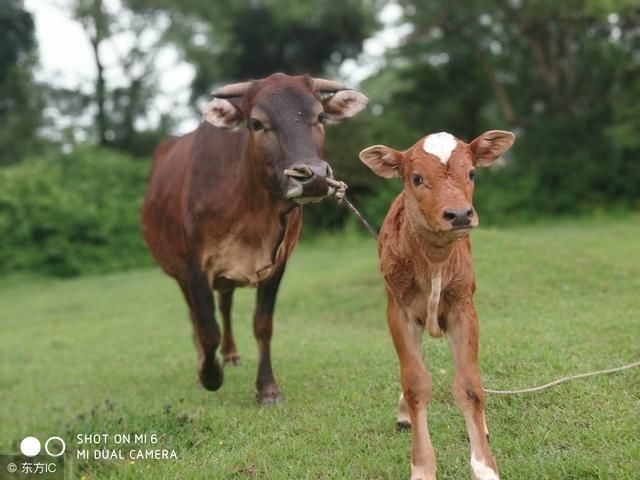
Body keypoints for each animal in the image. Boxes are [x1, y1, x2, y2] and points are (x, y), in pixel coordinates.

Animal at [142, 74, 368, 404]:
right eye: (257, 123)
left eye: (320, 117)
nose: (313, 176)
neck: (253, 213)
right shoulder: (196, 265)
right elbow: (207, 328)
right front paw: (209, 376)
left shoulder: (278, 262)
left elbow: (262, 324)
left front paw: (268, 389)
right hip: (178, 273)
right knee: (195, 318)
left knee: (225, 303)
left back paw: (231, 355)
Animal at [360, 129, 516, 478]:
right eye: (417, 177)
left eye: (471, 173)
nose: (459, 214)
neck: (434, 260)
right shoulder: (399, 313)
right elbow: (416, 383)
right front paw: (422, 467)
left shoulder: (463, 309)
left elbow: (470, 386)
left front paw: (485, 467)